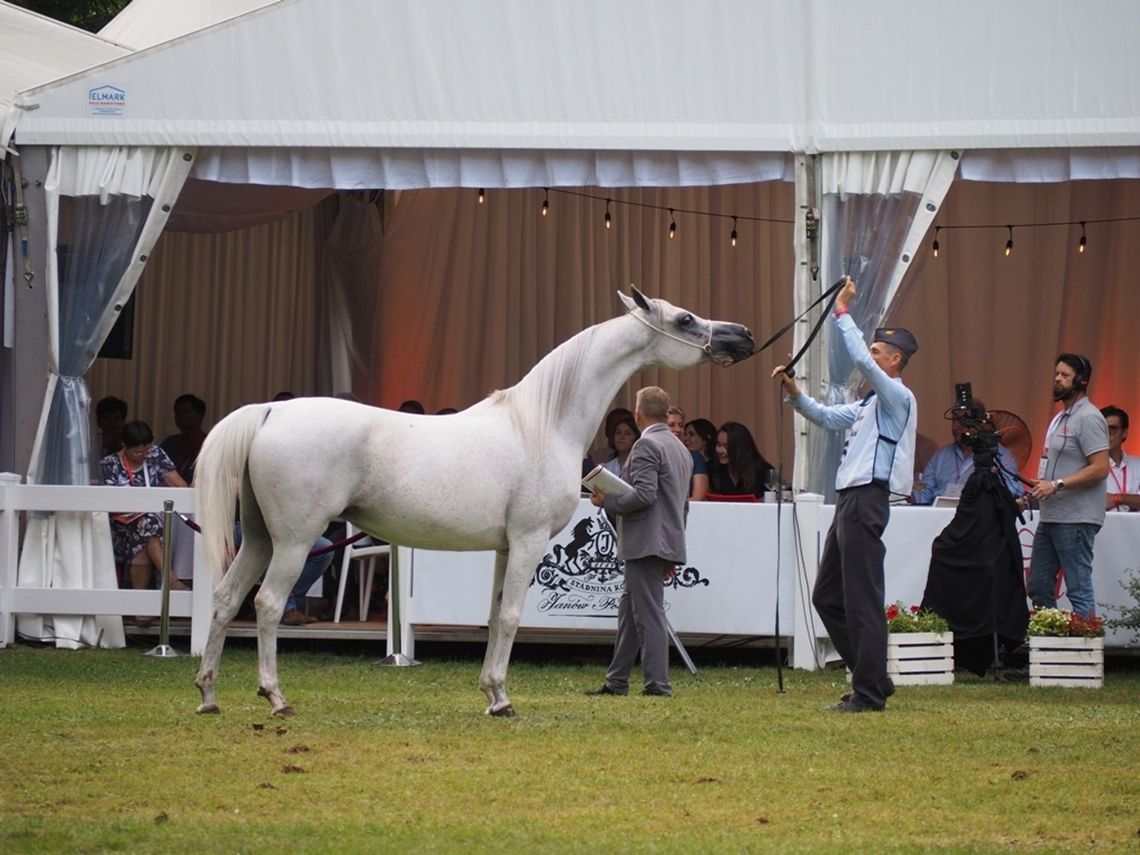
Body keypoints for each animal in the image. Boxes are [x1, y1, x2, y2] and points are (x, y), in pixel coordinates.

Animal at [191, 288, 752, 715]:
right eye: (684, 318)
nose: (742, 335)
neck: (541, 423)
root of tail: (269, 412)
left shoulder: (505, 548)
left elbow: (493, 612)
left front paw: (491, 692)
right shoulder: (527, 543)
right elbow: (511, 616)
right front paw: (503, 700)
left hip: (259, 539)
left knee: (225, 599)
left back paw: (209, 696)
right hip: (294, 541)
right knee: (266, 603)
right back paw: (275, 697)